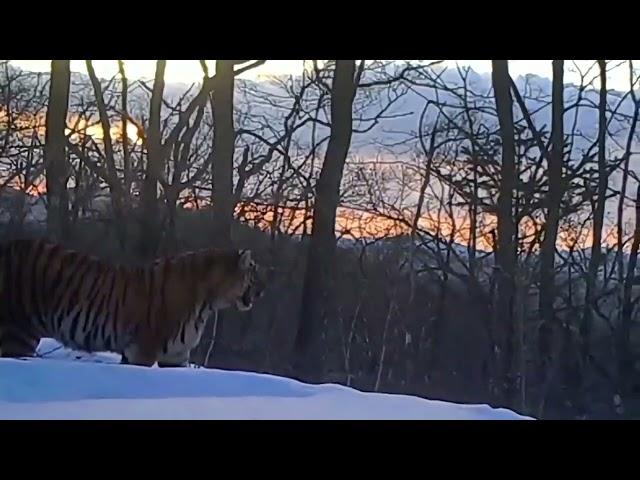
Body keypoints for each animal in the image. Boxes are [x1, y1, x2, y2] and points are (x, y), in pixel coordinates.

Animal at [0, 239, 264, 368]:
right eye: (253, 273)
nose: (262, 292)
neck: (208, 303)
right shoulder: (143, 349)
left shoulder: (177, 355)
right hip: (18, 334)